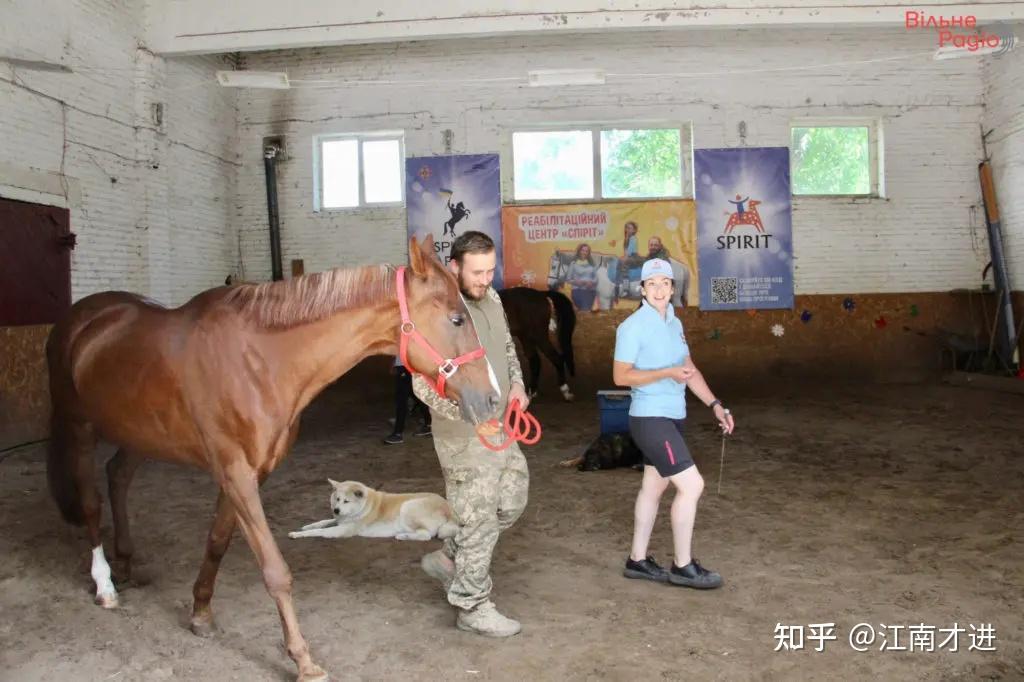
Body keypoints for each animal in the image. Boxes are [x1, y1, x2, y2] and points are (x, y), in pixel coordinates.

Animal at [286, 477, 458, 540]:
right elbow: (322, 522)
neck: (363, 507)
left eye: (346, 501)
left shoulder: (342, 530)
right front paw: (307, 526)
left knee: (426, 535)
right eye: (337, 499)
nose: (336, 510)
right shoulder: (340, 520)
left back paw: (403, 536)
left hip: (407, 506)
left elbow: (319, 531)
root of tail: (449, 508)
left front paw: (297, 534)